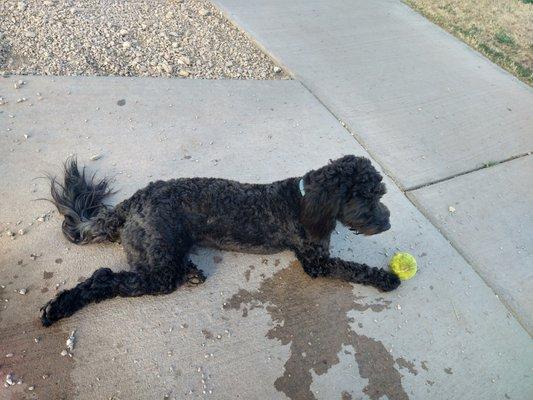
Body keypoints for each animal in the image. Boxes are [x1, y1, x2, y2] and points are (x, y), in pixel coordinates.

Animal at [40, 155, 400, 326]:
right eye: (367, 199)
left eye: (380, 195)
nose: (387, 223)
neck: (303, 199)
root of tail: (134, 201)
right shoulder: (317, 262)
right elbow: (354, 268)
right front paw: (387, 277)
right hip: (158, 265)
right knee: (105, 278)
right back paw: (59, 307)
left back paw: (191, 271)